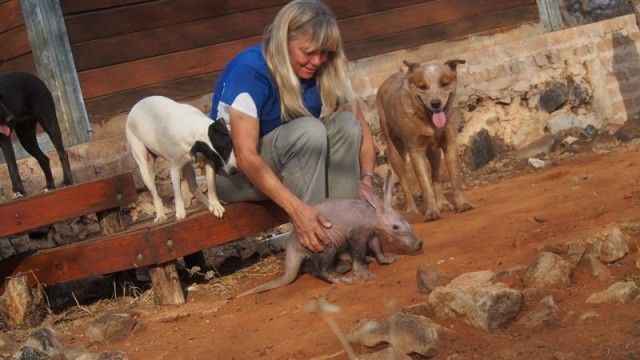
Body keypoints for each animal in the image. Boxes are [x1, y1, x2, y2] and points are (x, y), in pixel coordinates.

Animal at [378, 59, 472, 221]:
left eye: (444, 84)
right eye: (422, 87)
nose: (435, 103)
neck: (430, 122)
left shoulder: (450, 144)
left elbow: (455, 179)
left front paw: (462, 203)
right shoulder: (415, 151)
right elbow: (424, 184)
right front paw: (432, 211)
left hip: (434, 152)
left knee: (435, 176)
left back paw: (443, 203)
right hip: (394, 152)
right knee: (404, 182)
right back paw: (412, 210)